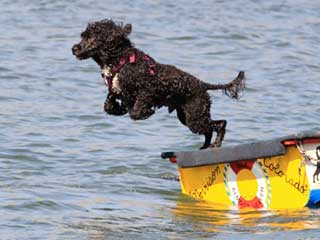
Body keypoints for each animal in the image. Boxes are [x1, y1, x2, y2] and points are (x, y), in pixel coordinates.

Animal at [72, 19, 245, 148]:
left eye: (90, 37)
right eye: (83, 36)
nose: (74, 48)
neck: (120, 60)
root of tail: (203, 84)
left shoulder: (147, 91)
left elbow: (135, 112)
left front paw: (145, 112)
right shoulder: (115, 89)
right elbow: (108, 105)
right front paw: (119, 109)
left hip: (195, 115)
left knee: (220, 124)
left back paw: (216, 144)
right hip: (187, 117)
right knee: (209, 130)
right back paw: (205, 146)